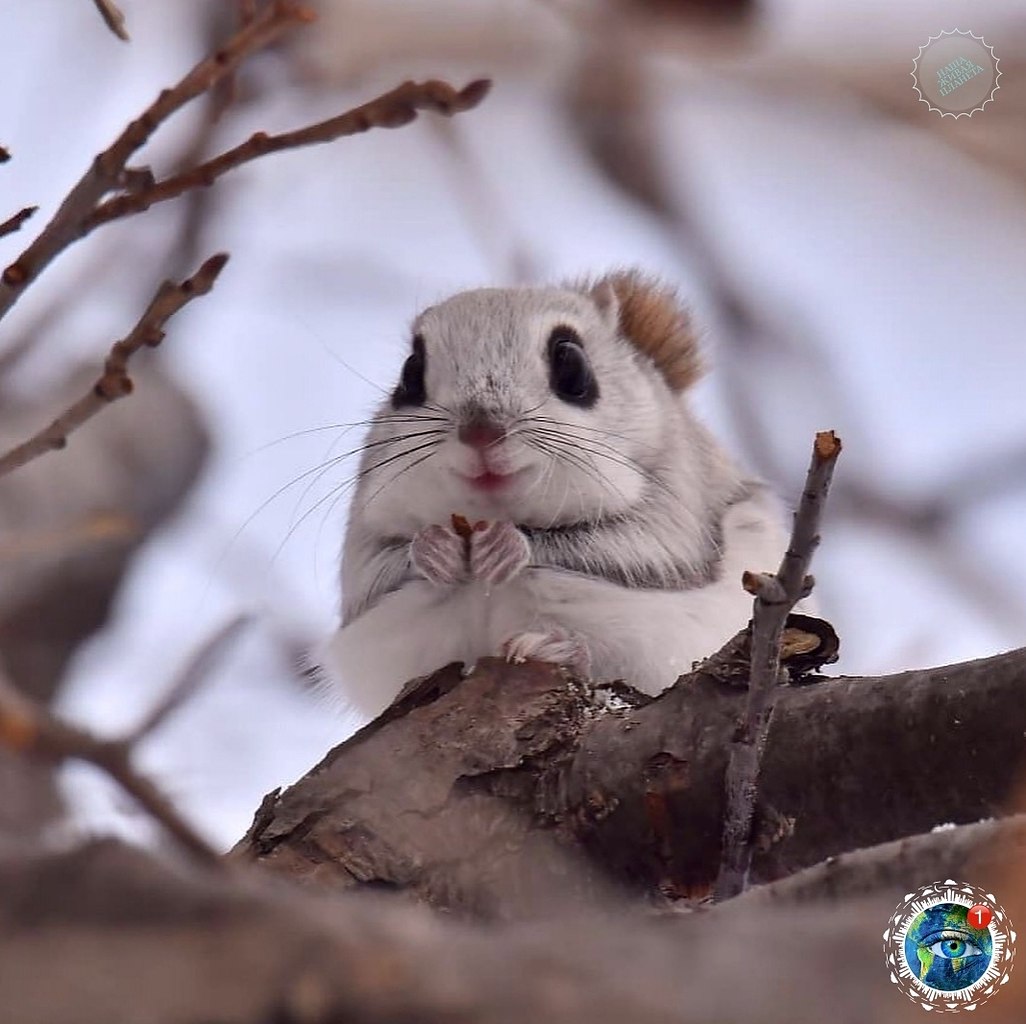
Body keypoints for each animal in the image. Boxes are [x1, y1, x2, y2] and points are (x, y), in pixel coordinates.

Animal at [324, 272, 787, 722]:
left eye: (573, 366)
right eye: (410, 373)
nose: (480, 432)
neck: (488, 514)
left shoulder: (677, 500)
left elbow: (645, 547)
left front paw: (508, 546)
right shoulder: (364, 535)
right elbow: (370, 571)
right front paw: (435, 549)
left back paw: (556, 648)